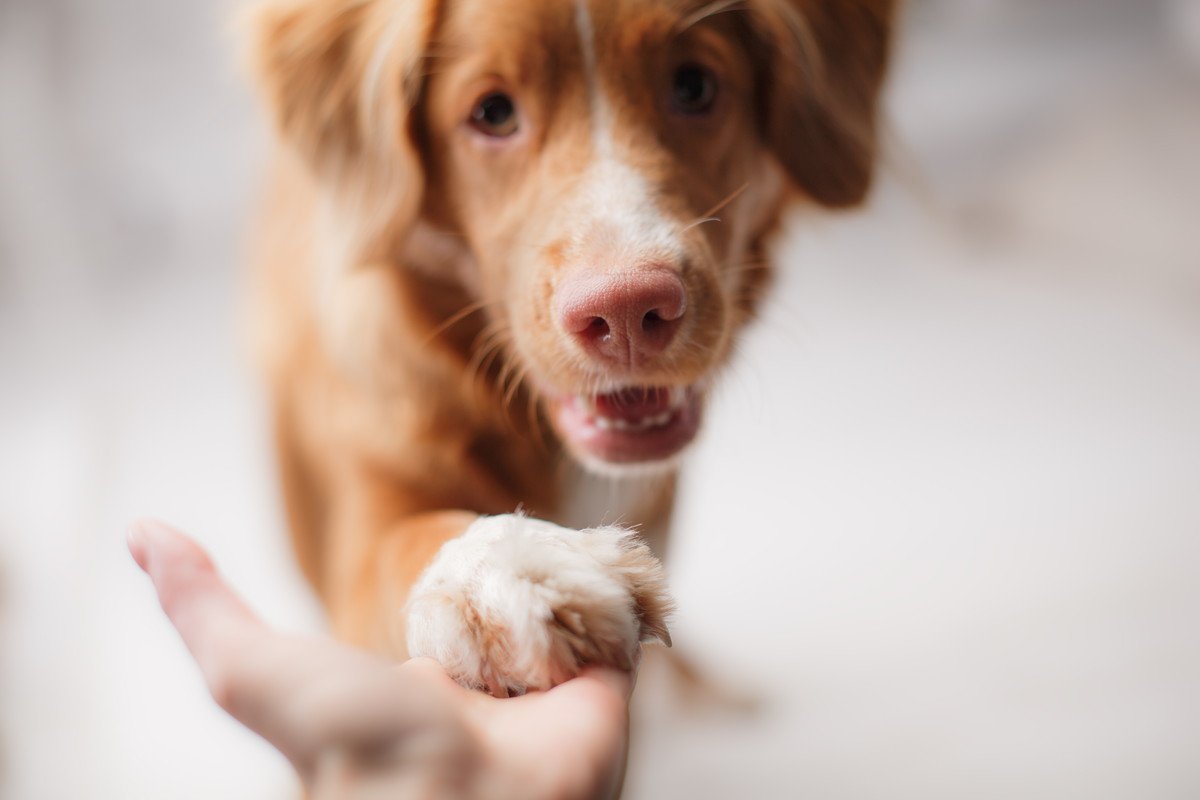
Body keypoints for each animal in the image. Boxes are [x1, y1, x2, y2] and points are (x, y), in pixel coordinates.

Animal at [248, 0, 897, 695]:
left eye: (694, 86)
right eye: (493, 113)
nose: (625, 309)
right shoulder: (364, 520)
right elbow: (405, 541)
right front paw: (508, 568)